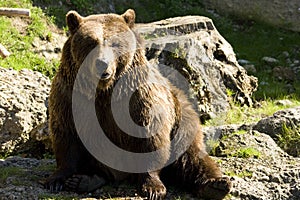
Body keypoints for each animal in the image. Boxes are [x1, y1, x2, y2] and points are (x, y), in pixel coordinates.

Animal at [44, 8, 232, 199]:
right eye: (91, 42)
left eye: (115, 43)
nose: (102, 63)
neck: (105, 91)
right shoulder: (70, 97)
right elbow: (67, 135)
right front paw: (56, 179)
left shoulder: (139, 100)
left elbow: (149, 138)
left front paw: (153, 188)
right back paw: (84, 180)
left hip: (182, 119)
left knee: (191, 155)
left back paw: (217, 184)